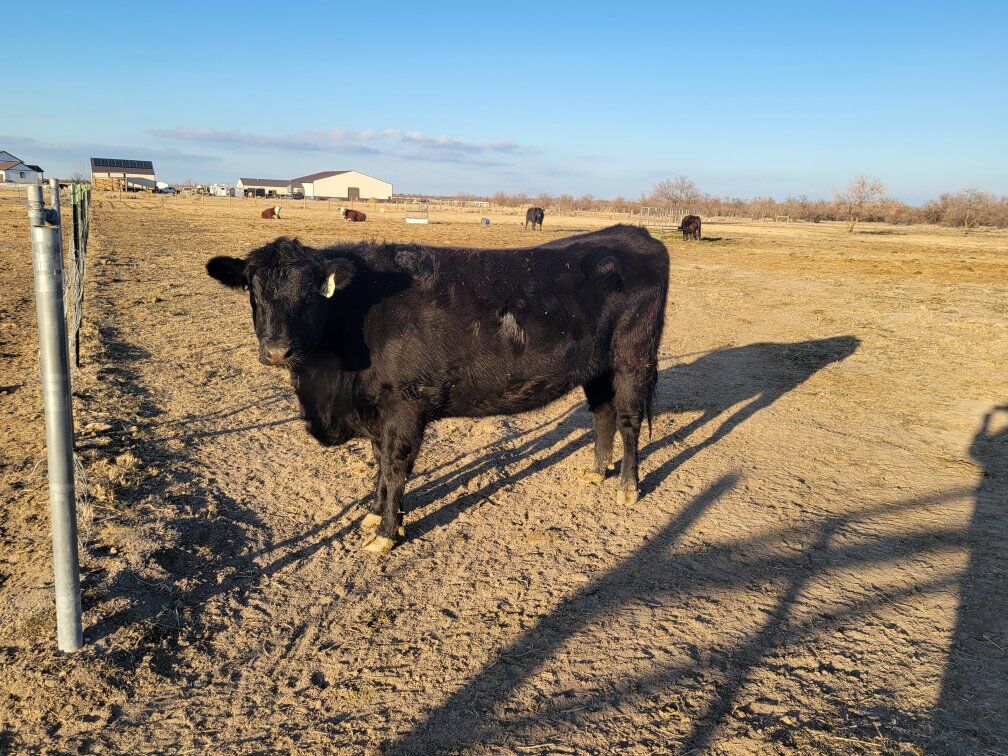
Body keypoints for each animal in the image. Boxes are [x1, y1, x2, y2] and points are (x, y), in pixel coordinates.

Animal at [205, 224, 669, 554]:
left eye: (310, 294)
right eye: (252, 291)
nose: (277, 350)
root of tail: (632, 232)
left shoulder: (405, 404)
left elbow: (394, 466)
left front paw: (386, 533)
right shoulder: (377, 410)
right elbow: (380, 464)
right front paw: (375, 515)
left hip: (633, 358)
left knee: (627, 419)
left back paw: (628, 487)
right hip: (597, 367)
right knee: (602, 413)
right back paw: (597, 471)